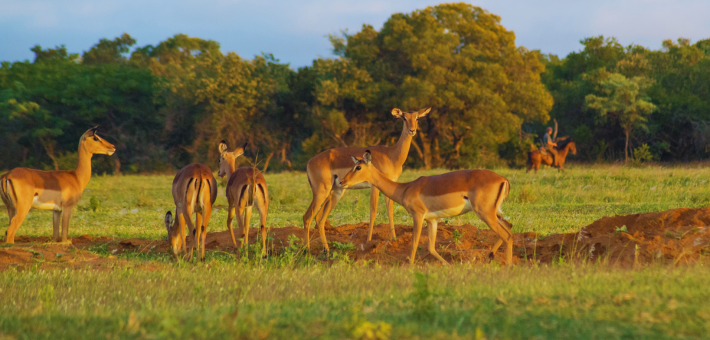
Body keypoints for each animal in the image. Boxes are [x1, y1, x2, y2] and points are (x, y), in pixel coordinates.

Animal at [304, 106, 432, 252]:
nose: (412, 130)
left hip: (335, 192)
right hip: (321, 192)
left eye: (417, 118)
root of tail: (309, 162)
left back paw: (326, 250)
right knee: (307, 217)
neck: (391, 155)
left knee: (319, 218)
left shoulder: (390, 185)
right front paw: (368, 240)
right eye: (404, 118)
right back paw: (307, 250)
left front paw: (394, 239)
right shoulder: (374, 187)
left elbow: (390, 211)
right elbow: (373, 211)